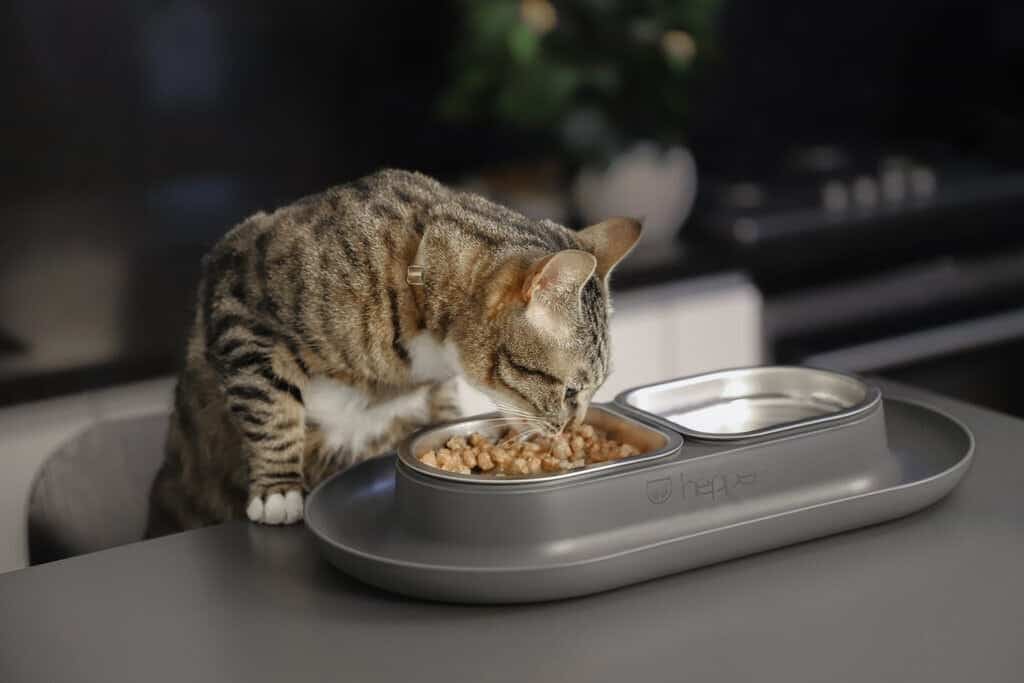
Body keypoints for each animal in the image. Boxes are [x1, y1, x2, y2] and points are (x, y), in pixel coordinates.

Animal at [146, 166, 638, 532]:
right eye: (571, 391)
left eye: (595, 389)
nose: (574, 427)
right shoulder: (238, 299)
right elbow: (271, 410)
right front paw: (278, 492)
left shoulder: (436, 388)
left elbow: (440, 410)